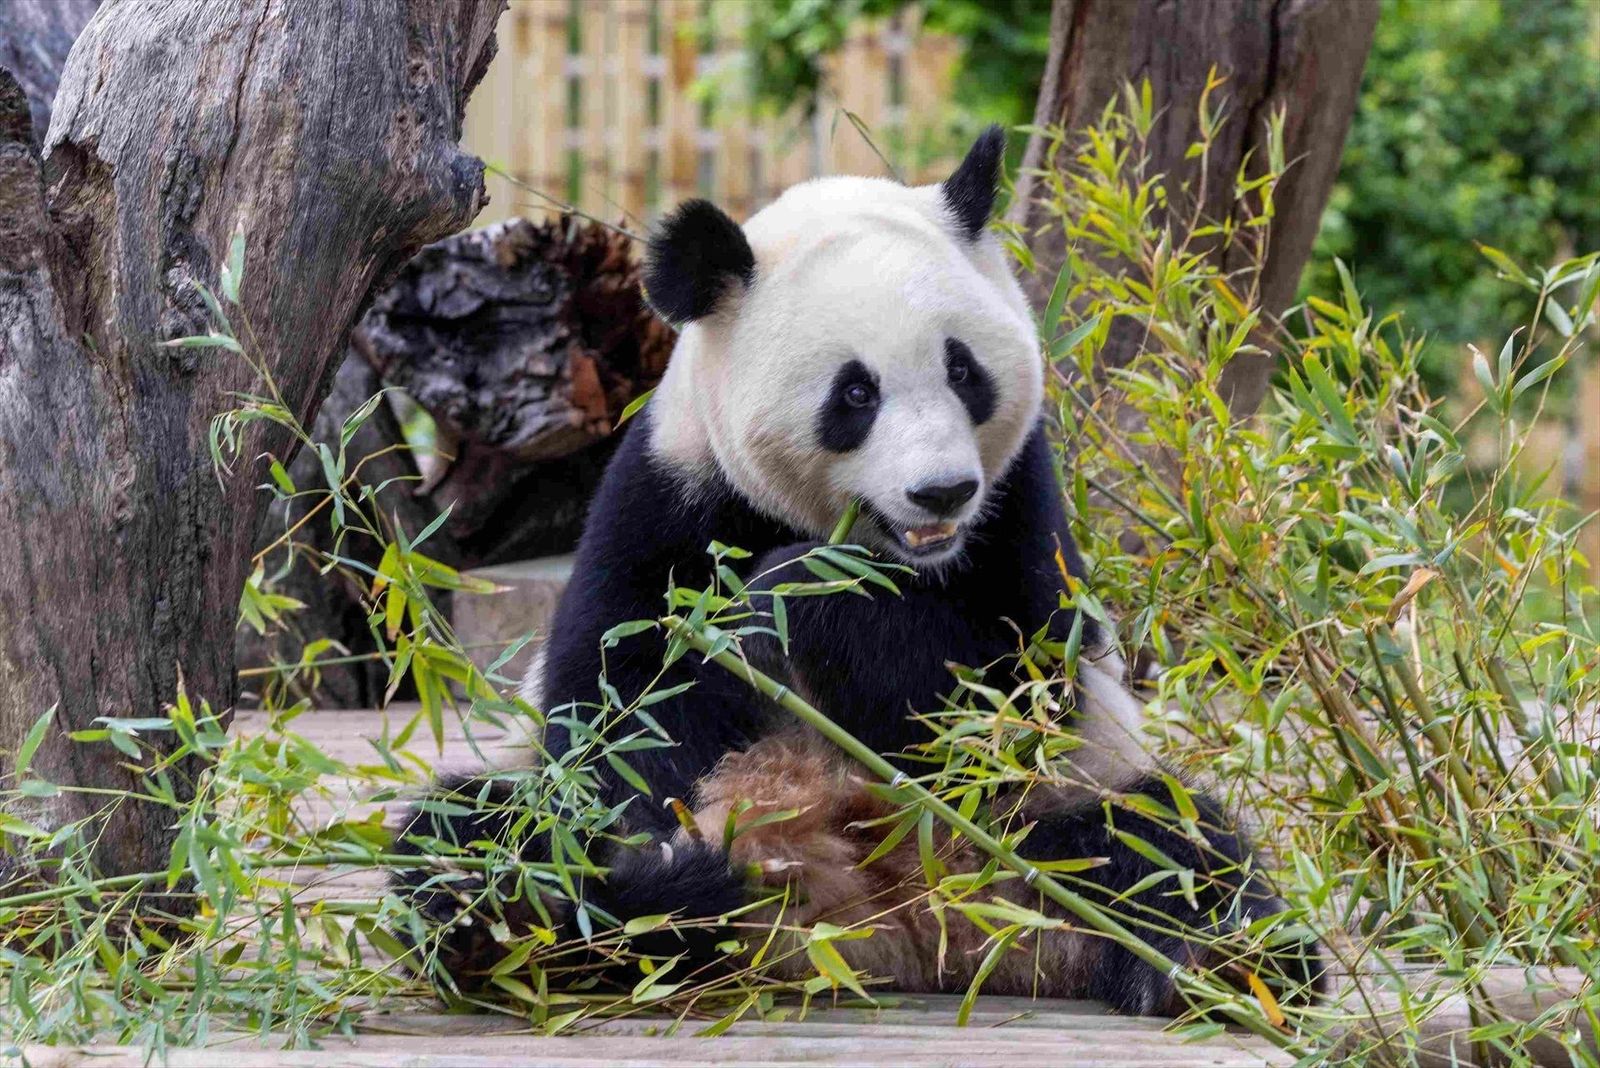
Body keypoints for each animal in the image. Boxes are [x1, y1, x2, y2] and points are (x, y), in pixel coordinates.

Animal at [393, 126, 1325, 1015]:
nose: (942, 491)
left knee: (1169, 848)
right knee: (470, 832)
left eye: (963, 368)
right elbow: (621, 708)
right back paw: (567, 913)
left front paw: (796, 594)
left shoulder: (1019, 501)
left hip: (1044, 818)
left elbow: (1013, 694)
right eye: (855, 394)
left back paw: (1220, 966)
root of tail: (900, 923)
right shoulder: (665, 492)